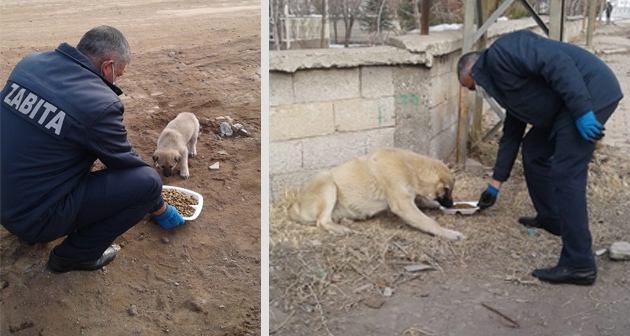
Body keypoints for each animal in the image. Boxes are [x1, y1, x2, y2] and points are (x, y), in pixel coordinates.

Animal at [288, 146, 466, 239]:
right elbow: (429, 222)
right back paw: (340, 229)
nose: (451, 204)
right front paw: (448, 233)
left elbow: (422, 201)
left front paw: (433, 204)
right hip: (327, 181)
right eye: (448, 191)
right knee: (322, 221)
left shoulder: (410, 197)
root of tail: (294, 206)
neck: (411, 167)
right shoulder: (403, 205)